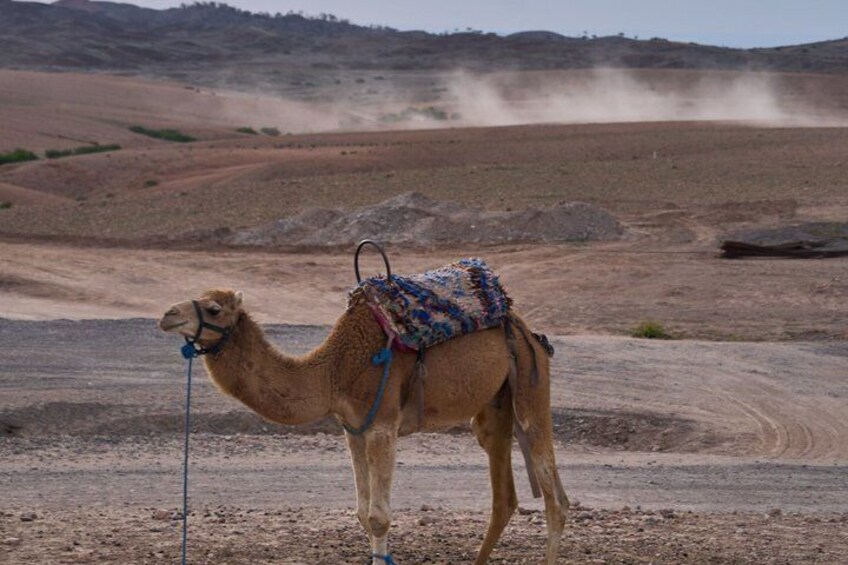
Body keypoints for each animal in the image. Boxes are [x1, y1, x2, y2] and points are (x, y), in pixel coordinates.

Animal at [158, 287, 569, 564]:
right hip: (493, 407)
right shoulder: (352, 428)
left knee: (554, 499)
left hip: (531, 387)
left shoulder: (382, 425)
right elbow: (361, 513)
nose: (167, 315)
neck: (334, 372)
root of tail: (529, 332)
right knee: (505, 496)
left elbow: (378, 517)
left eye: (213, 308)